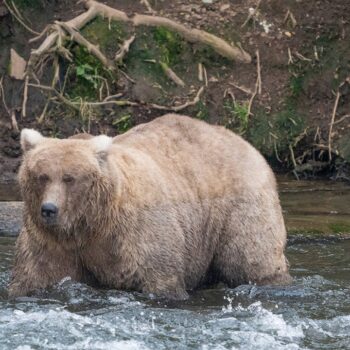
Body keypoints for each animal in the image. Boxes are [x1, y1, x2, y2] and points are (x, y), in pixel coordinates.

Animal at [9, 114, 292, 298]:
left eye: (70, 178)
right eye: (42, 176)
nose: (49, 209)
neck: (90, 224)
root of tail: (246, 143)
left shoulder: (136, 233)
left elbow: (160, 277)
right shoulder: (52, 242)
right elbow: (36, 276)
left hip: (239, 206)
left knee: (251, 258)